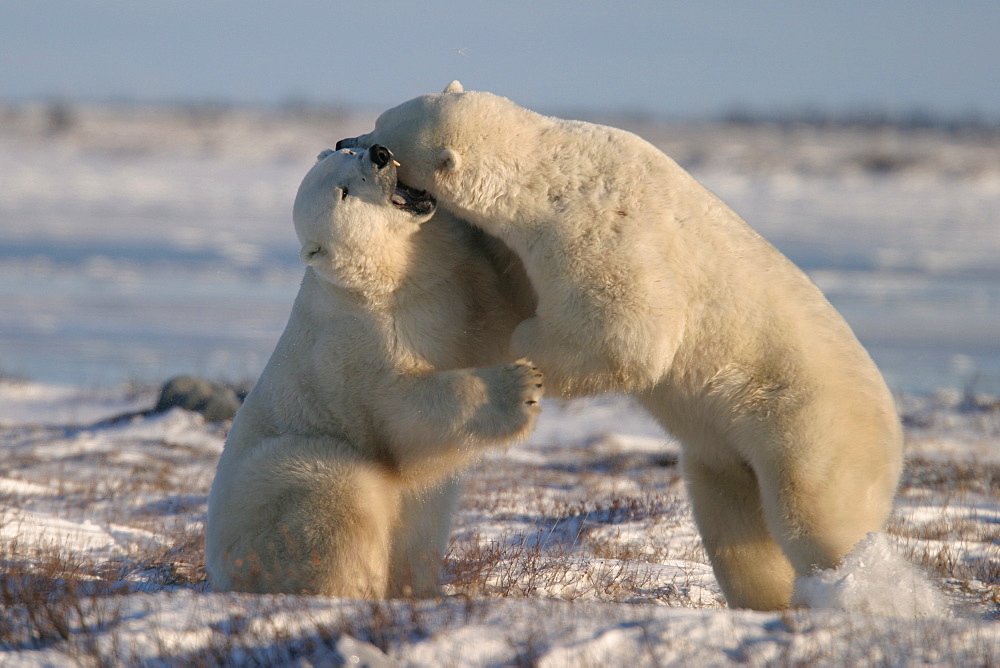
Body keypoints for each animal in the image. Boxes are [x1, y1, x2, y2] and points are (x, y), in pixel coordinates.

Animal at [205, 144, 548, 596]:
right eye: (344, 192)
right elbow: (402, 412)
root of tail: (218, 573)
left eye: (348, 150)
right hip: (282, 476)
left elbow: (496, 309)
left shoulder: (448, 282)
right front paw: (523, 386)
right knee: (336, 494)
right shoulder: (363, 345)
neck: (384, 281)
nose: (380, 154)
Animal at [338, 82, 908, 612]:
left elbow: (628, 332)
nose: (347, 141)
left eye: (384, 141)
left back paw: (848, 589)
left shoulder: (602, 227)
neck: (551, 171)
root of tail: (893, 429)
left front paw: (528, 343)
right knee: (735, 529)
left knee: (815, 514)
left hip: (807, 424)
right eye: (377, 122)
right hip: (723, 453)